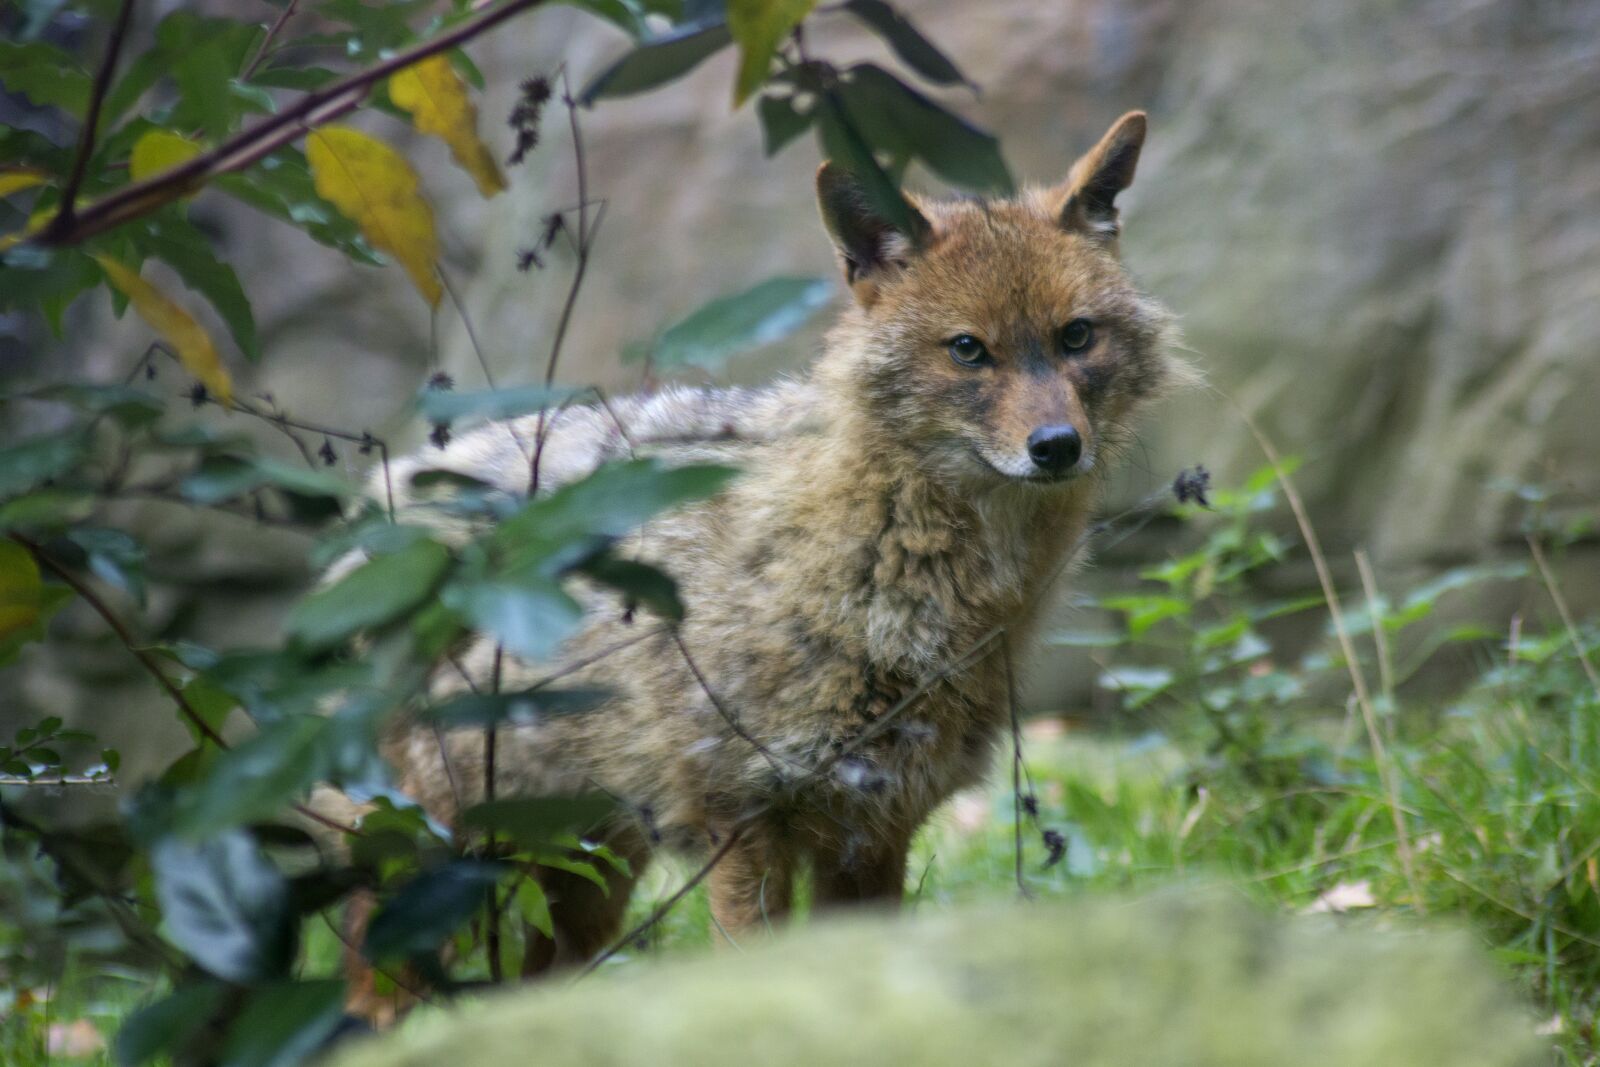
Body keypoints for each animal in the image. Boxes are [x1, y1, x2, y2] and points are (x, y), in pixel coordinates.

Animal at [343, 110, 1182, 977]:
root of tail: (388, 490)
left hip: (586, 877)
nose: (1057, 446)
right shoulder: (743, 822)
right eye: (968, 349)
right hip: (439, 868)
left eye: (1076, 337)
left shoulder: (874, 828)